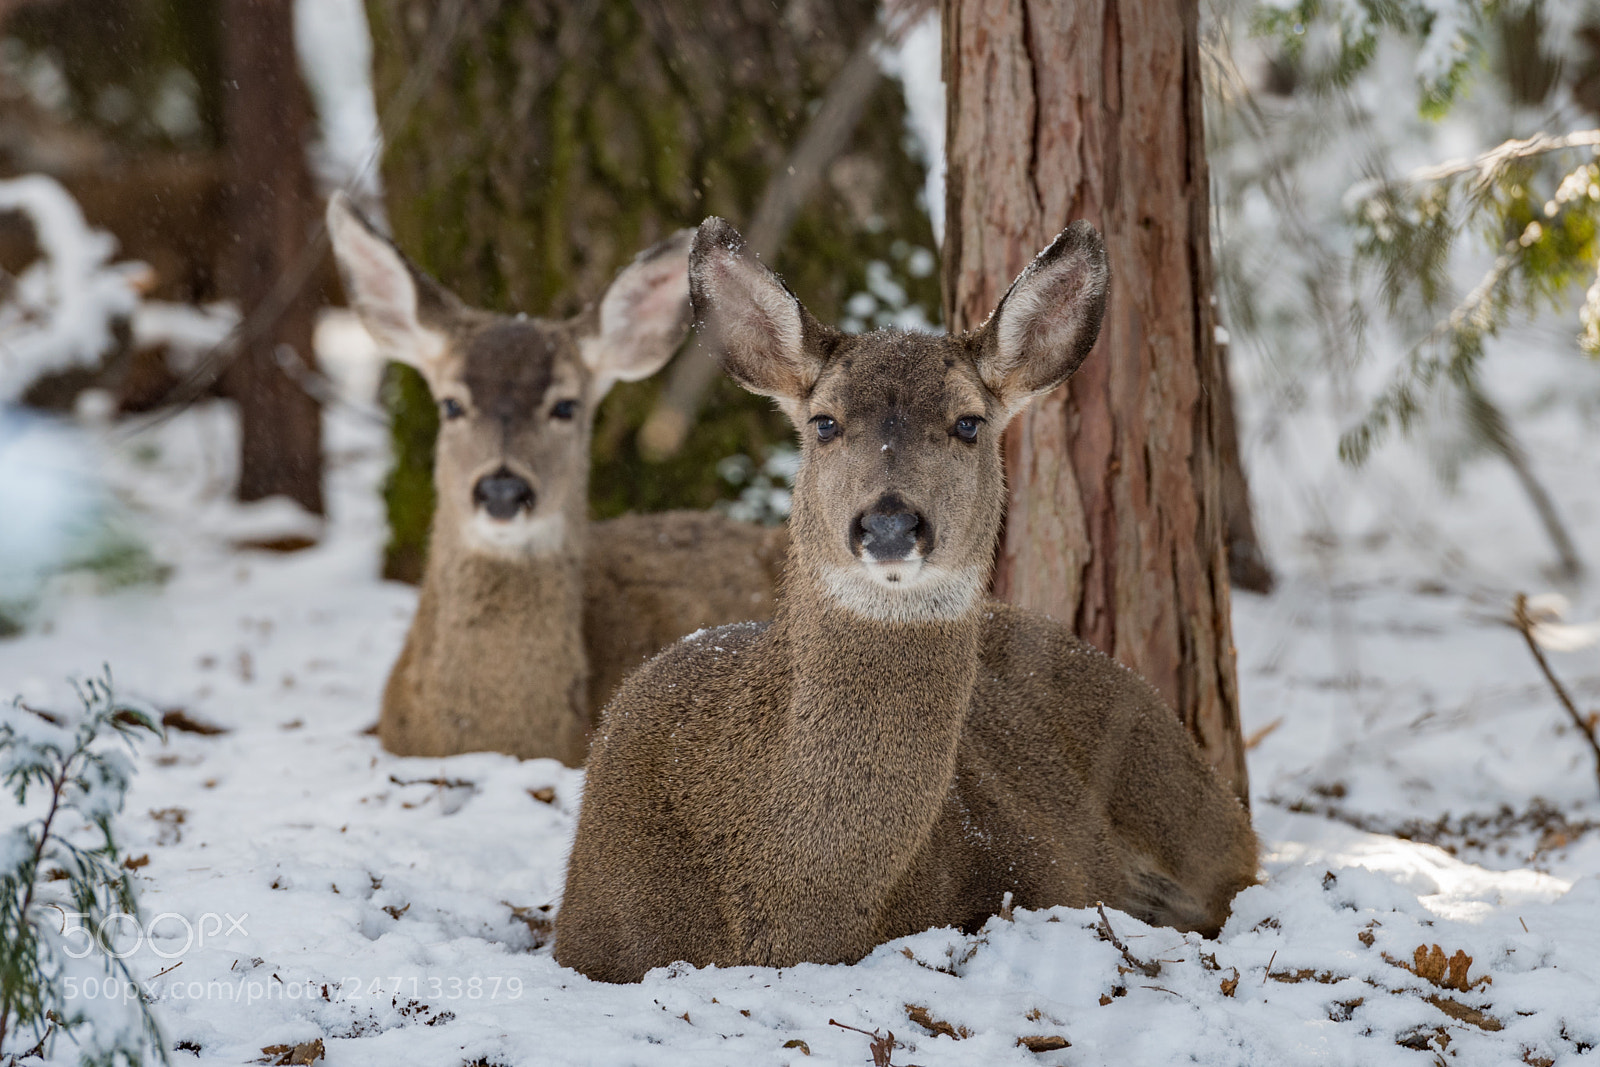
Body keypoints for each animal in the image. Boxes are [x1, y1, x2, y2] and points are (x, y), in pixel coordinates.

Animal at [555, 217, 1258, 983]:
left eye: (969, 422)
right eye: (824, 422)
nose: (890, 523)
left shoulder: (1044, 873)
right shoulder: (585, 940)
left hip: (1180, 799)